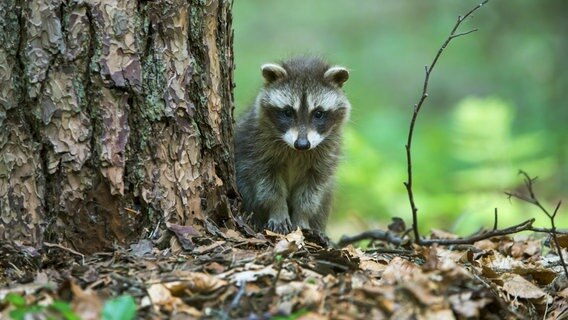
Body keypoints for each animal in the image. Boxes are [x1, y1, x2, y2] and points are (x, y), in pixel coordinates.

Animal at [235, 56, 350, 234]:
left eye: (318, 113)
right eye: (288, 112)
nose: (302, 144)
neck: (297, 152)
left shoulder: (326, 154)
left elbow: (312, 191)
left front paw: (302, 217)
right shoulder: (256, 146)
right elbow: (267, 185)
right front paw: (278, 210)